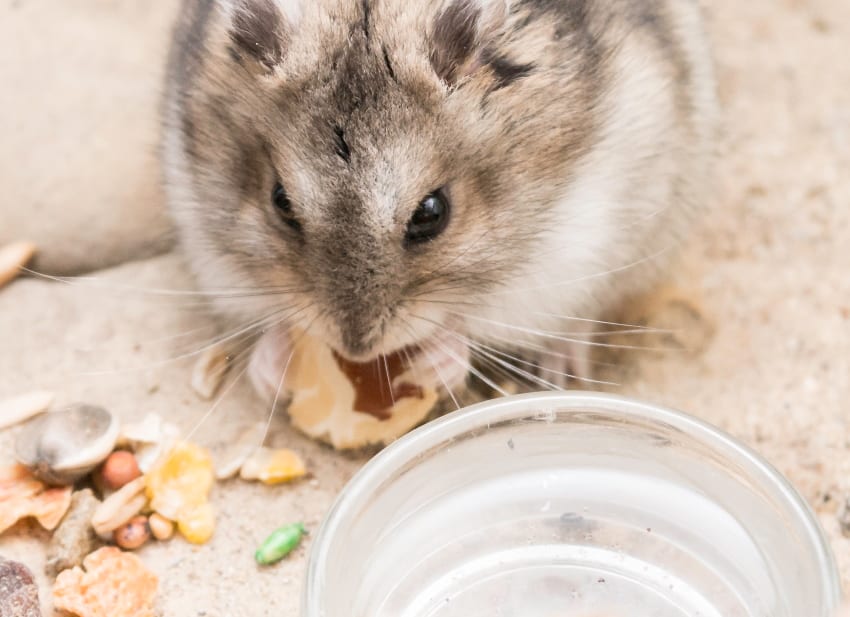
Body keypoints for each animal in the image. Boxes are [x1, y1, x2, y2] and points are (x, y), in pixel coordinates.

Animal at [161, 0, 716, 402]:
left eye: (432, 213)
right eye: (280, 202)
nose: (356, 350)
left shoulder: (567, 254)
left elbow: (475, 321)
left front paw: (436, 362)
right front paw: (271, 370)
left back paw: (557, 371)